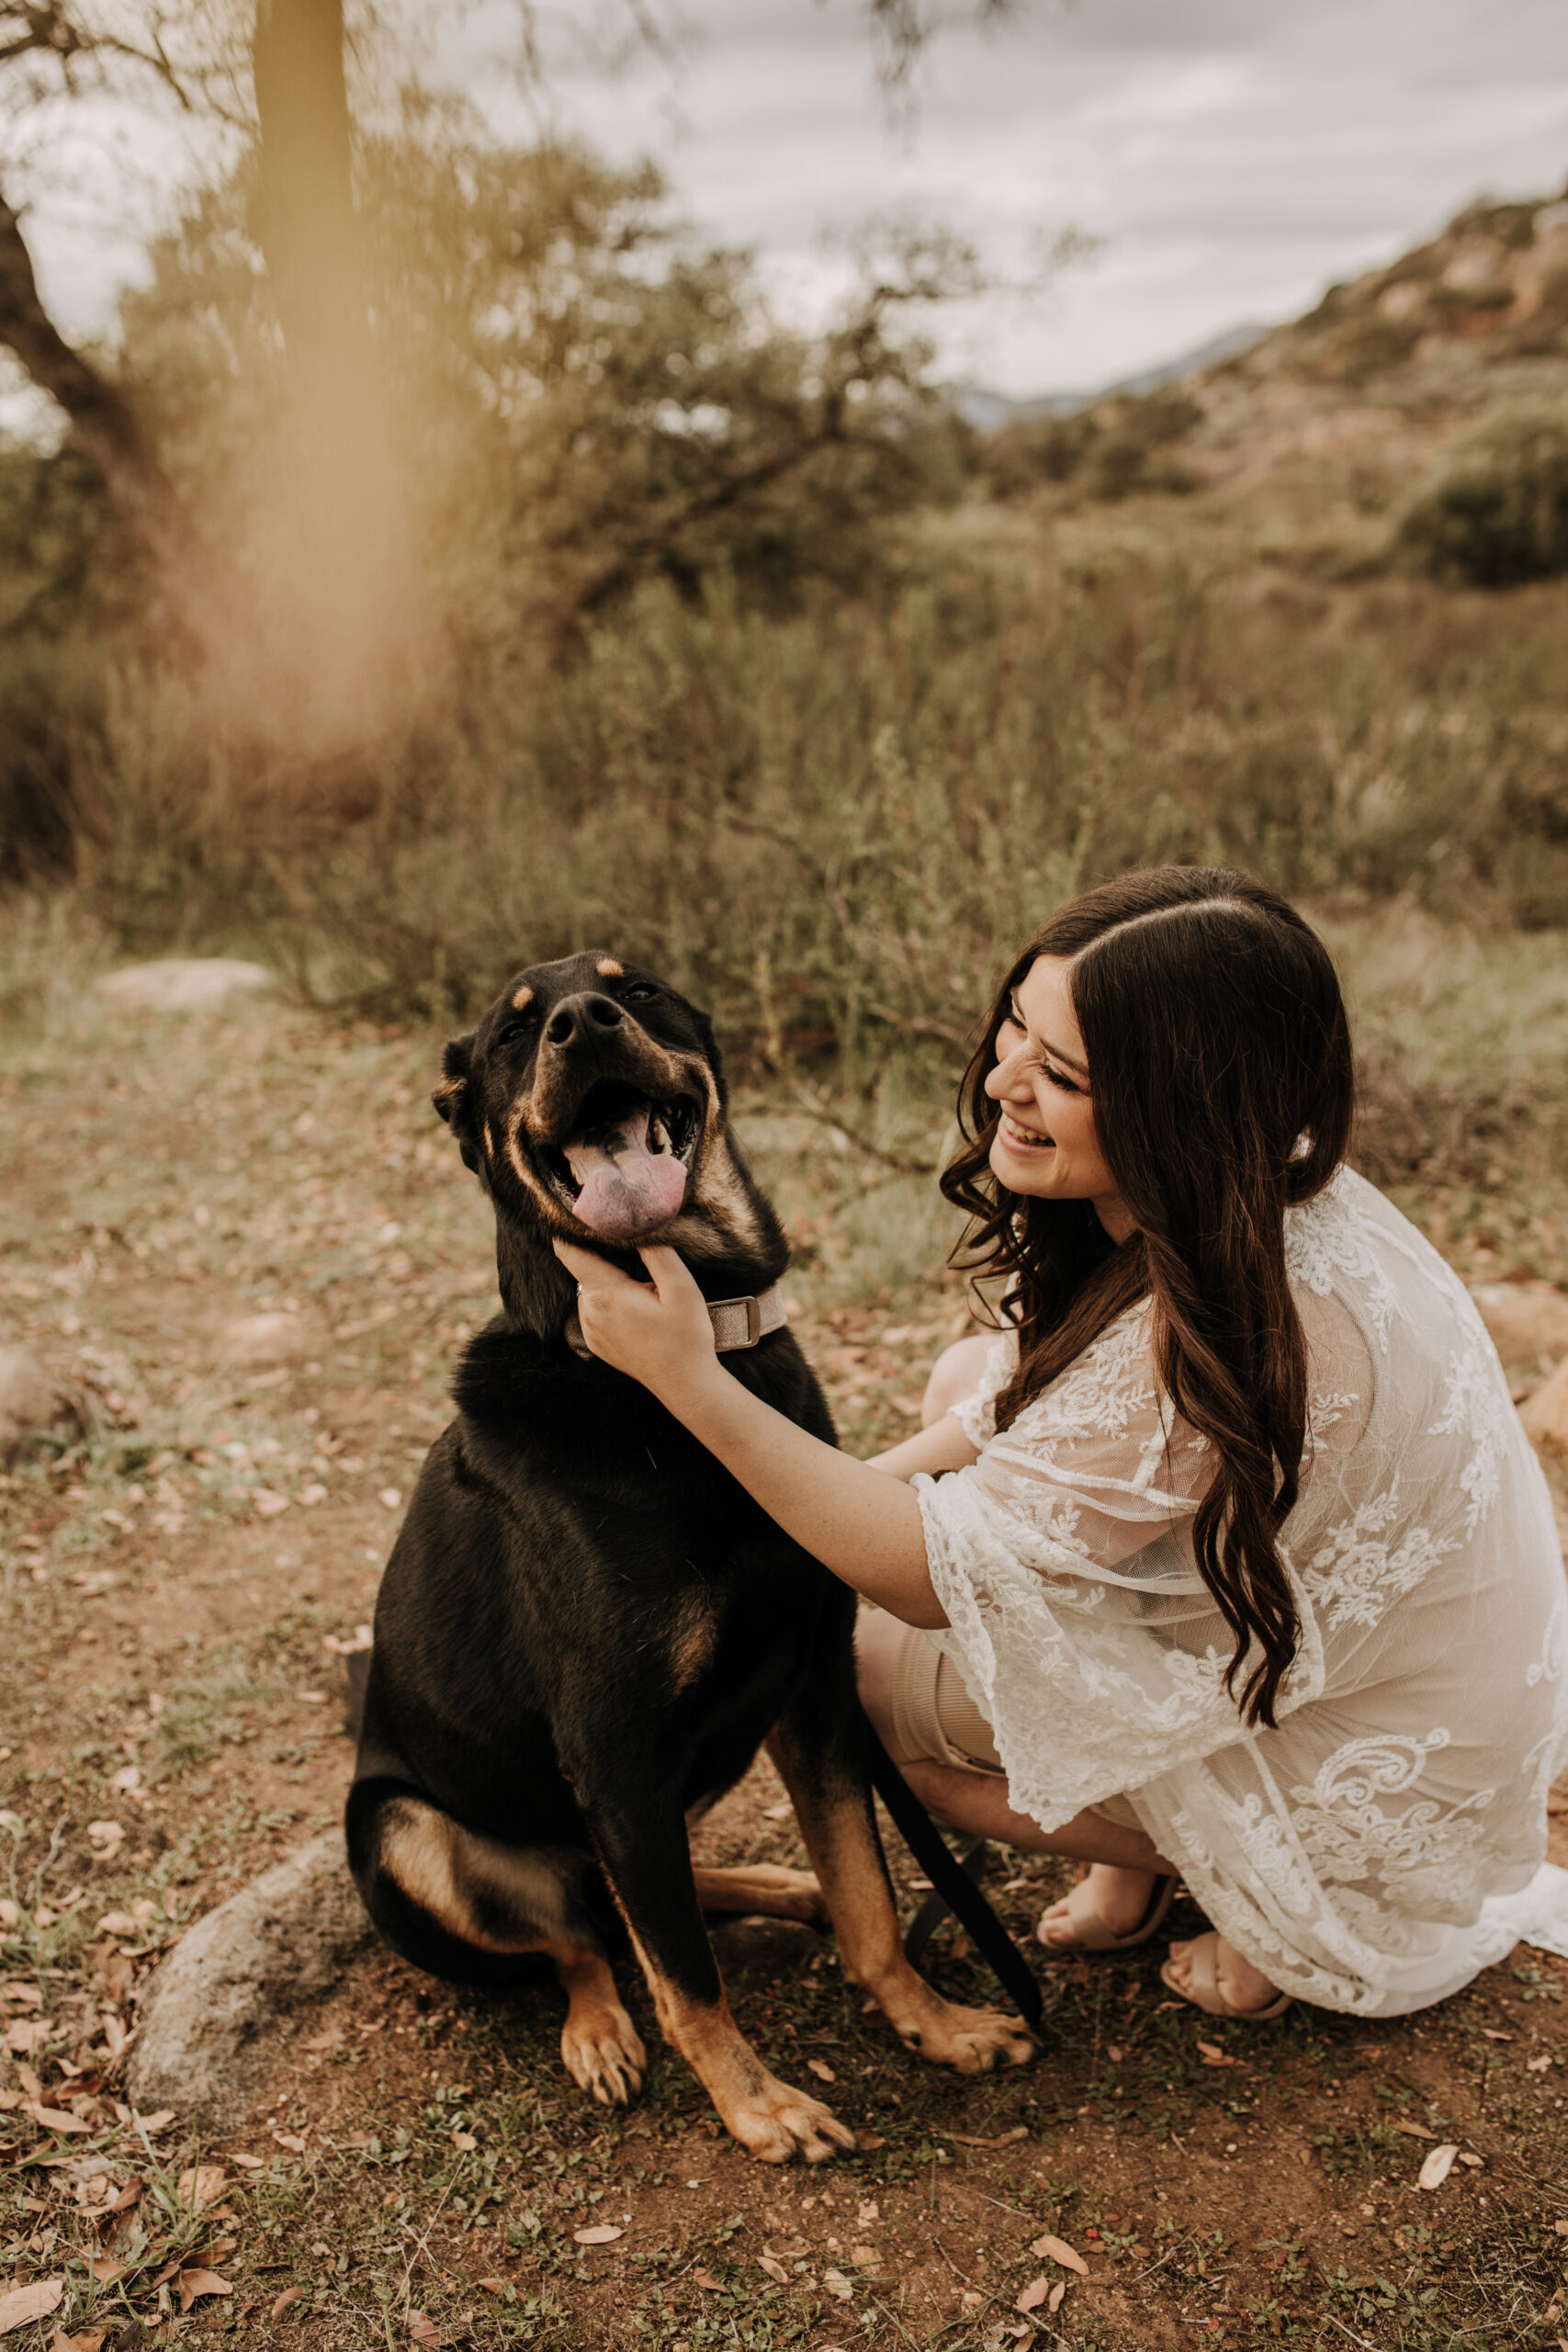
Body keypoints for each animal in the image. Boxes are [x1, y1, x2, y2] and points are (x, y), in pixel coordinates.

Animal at [345, 945, 1034, 2154]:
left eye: (638, 988)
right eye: (514, 1033)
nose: (582, 1021)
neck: (690, 1370)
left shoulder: (814, 1692)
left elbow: (867, 1898)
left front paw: (934, 2022)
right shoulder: (616, 1749)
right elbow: (686, 1980)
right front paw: (759, 2106)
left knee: (637, 1900)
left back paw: (777, 1890)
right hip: (397, 1833)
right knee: (581, 1939)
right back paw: (599, 2030)